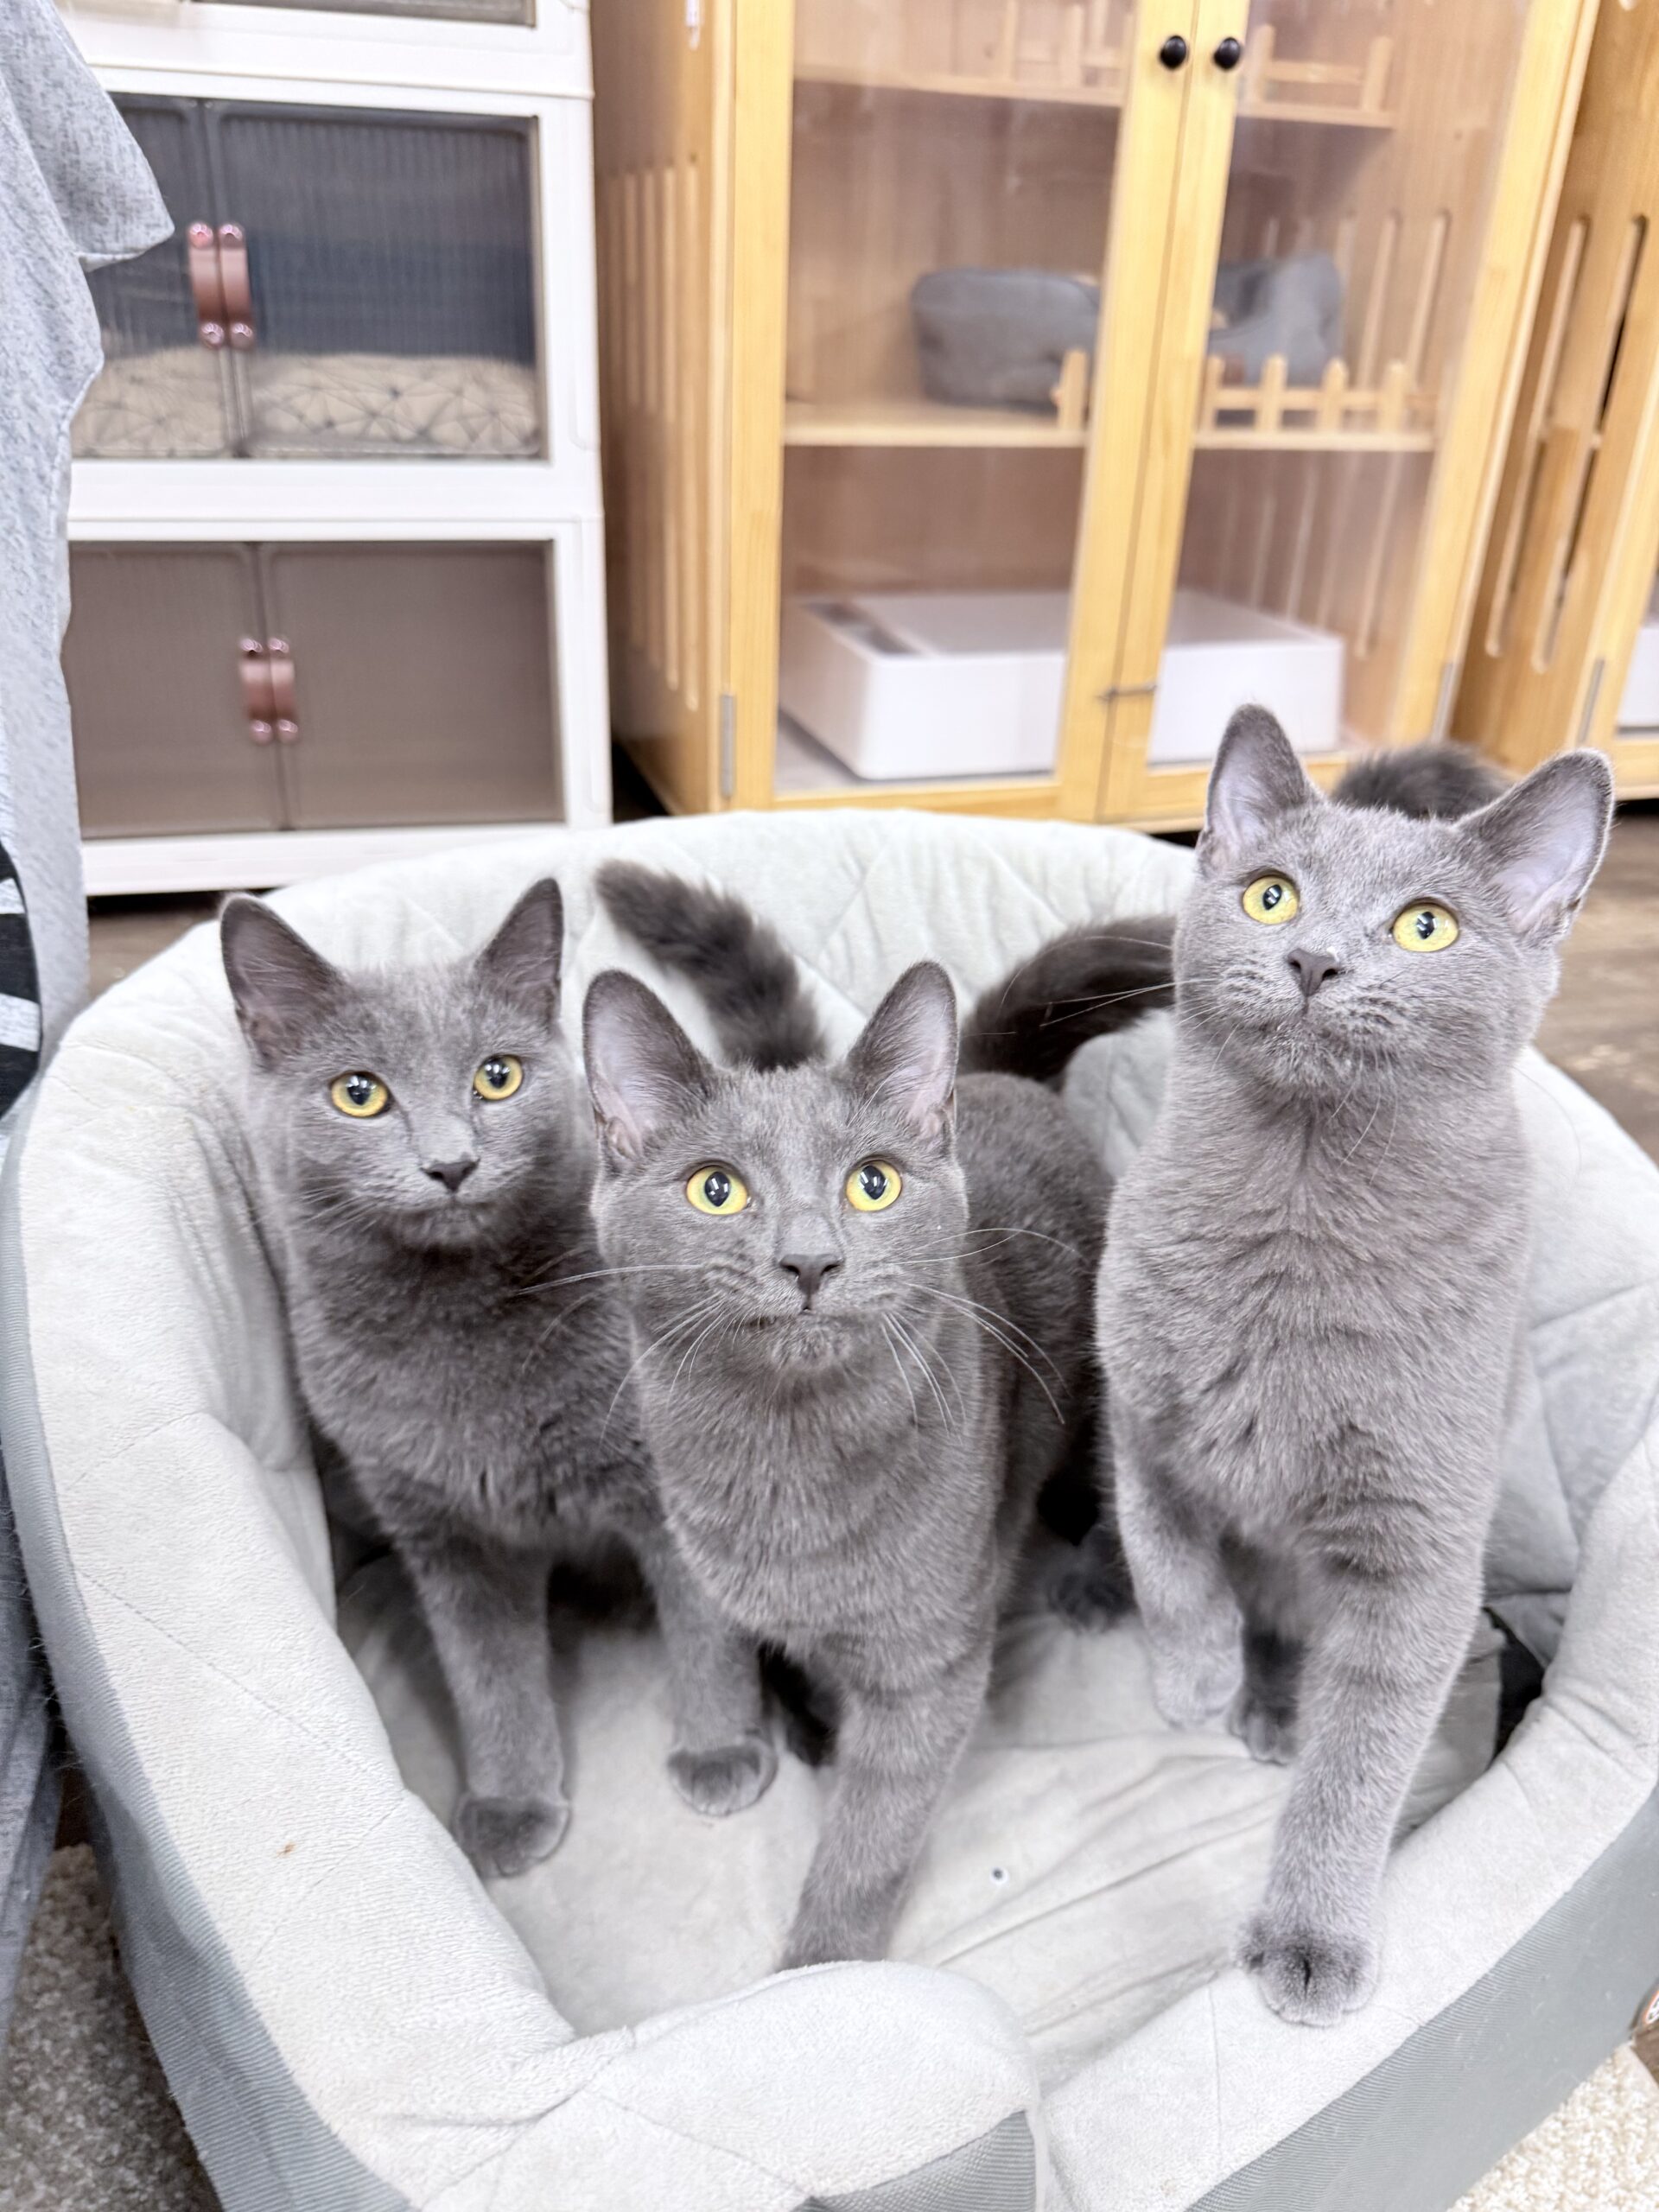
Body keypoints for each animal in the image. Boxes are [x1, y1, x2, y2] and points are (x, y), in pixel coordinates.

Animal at [220, 880, 778, 1880]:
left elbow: (707, 1630)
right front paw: (513, 1803)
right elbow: (488, 1678)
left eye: (497, 1076)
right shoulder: (445, 1534)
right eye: (358, 1093)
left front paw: (720, 1749)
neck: (459, 1325)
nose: (451, 1163)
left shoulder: (671, 1486)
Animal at [585, 866, 1171, 1966]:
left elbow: (871, 1833)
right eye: (716, 1189)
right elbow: (734, 1649)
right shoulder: (704, 1560)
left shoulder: (927, 1663)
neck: (786, 1463)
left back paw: (1096, 1576)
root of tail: (992, 1072)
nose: (810, 1261)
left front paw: (819, 1970)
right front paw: (770, 1731)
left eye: (873, 1182)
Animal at [1097, 711, 1612, 2024]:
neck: (1295, 1212)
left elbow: (1362, 1760)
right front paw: (1192, 1680)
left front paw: (1311, 1939)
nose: (1313, 960)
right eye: (1270, 894)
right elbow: (1170, 1564)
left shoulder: (1419, 1560)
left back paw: (1283, 1714)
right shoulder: (1139, 1421)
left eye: (1426, 925)